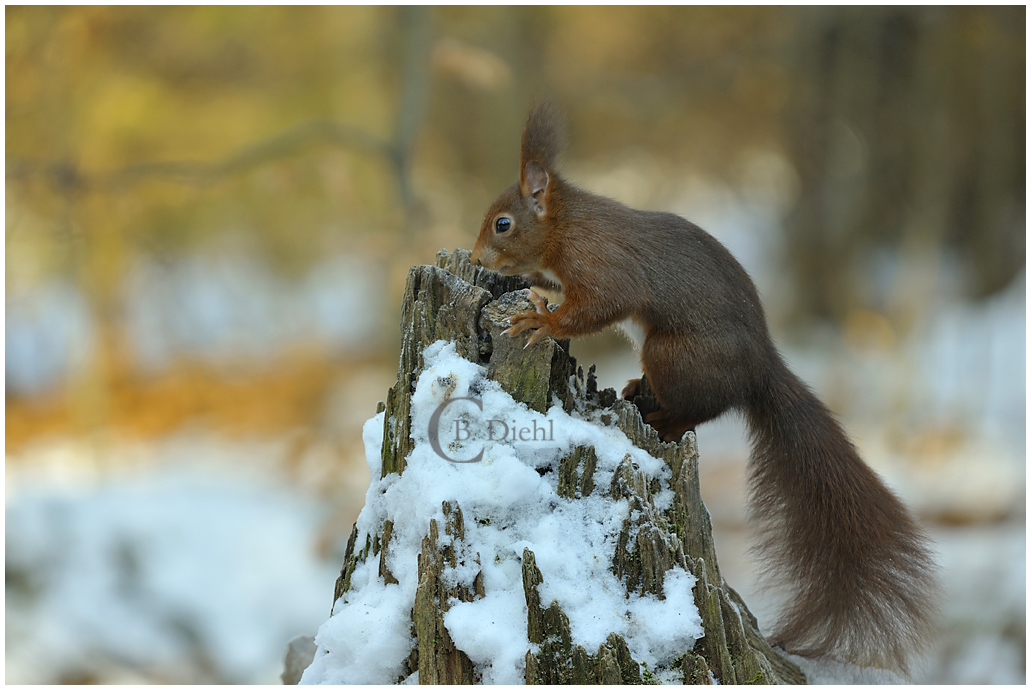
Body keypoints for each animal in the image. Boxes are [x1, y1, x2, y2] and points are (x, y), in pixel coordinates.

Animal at [472, 104, 941, 676]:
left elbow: (599, 305)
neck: (567, 226)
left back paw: (660, 418)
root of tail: (760, 370)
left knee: (701, 411)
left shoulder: (603, 264)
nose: (476, 257)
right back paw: (638, 390)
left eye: (503, 223)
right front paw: (534, 296)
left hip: (672, 354)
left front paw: (541, 323)